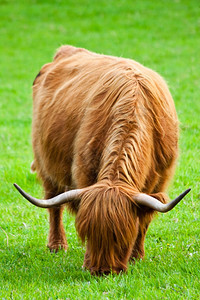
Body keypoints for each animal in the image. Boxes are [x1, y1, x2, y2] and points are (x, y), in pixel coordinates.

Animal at [14, 45, 191, 274]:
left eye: (122, 238)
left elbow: (144, 221)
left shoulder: (159, 181)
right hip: (46, 161)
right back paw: (57, 245)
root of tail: (67, 50)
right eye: (88, 235)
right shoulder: (84, 173)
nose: (102, 270)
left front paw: (136, 256)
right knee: (53, 203)